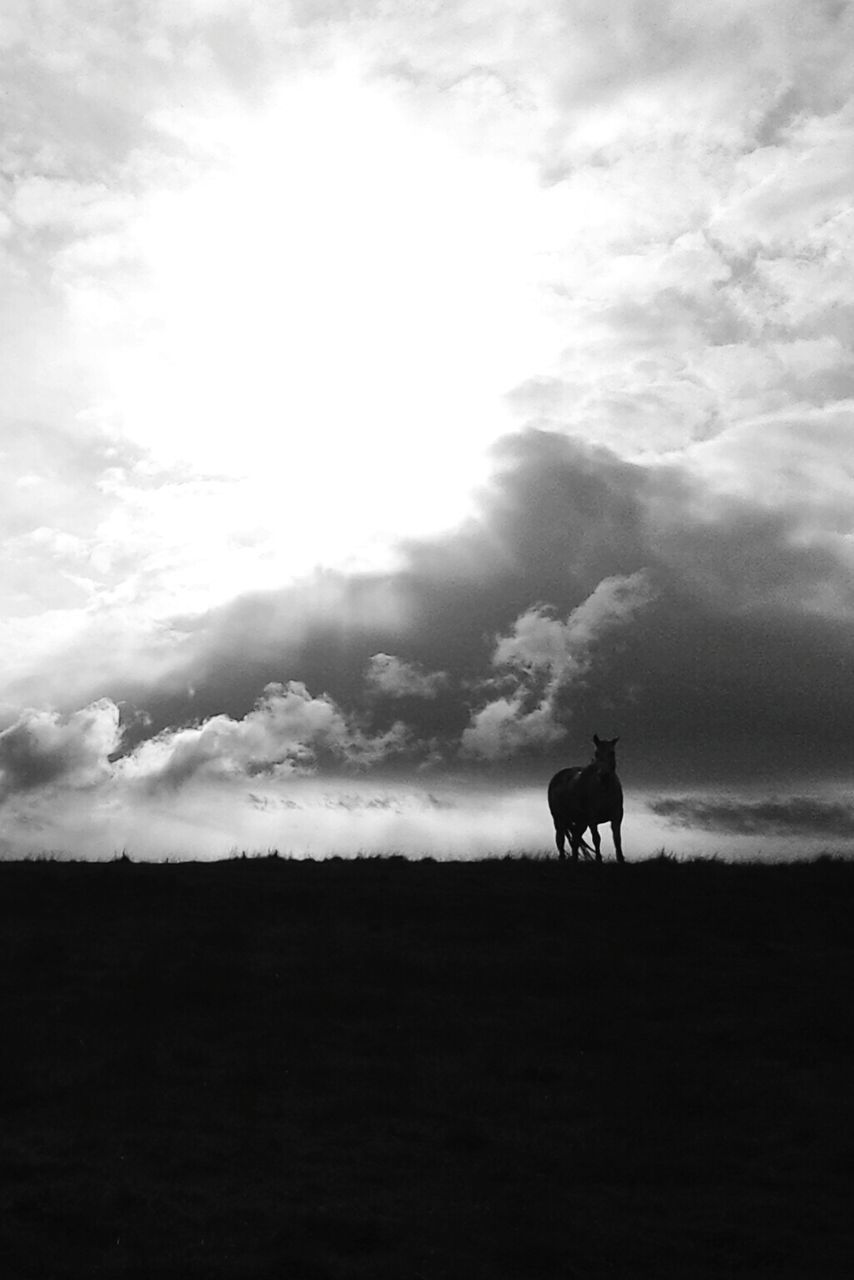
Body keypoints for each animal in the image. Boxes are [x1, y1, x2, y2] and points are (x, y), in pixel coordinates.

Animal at [550, 737, 624, 865]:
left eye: (612, 752)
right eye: (596, 753)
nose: (603, 774)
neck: (604, 789)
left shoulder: (617, 817)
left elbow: (617, 839)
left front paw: (620, 859)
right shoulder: (592, 820)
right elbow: (597, 839)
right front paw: (598, 859)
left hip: (581, 823)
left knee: (575, 839)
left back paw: (574, 859)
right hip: (559, 820)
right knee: (560, 840)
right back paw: (562, 859)